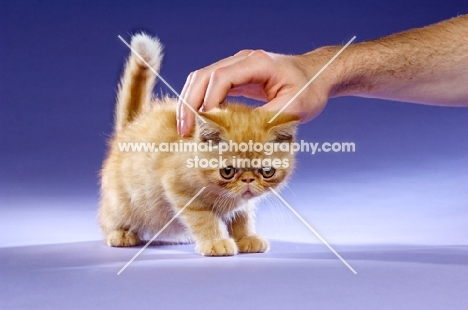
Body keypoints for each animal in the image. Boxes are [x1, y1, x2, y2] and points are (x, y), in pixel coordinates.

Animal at [99, 33, 300, 256]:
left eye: (267, 171)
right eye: (227, 171)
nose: (248, 180)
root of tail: (131, 125)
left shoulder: (242, 204)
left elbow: (241, 216)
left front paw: (245, 237)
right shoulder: (180, 191)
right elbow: (204, 218)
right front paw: (216, 241)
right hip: (123, 200)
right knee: (108, 217)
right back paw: (120, 234)